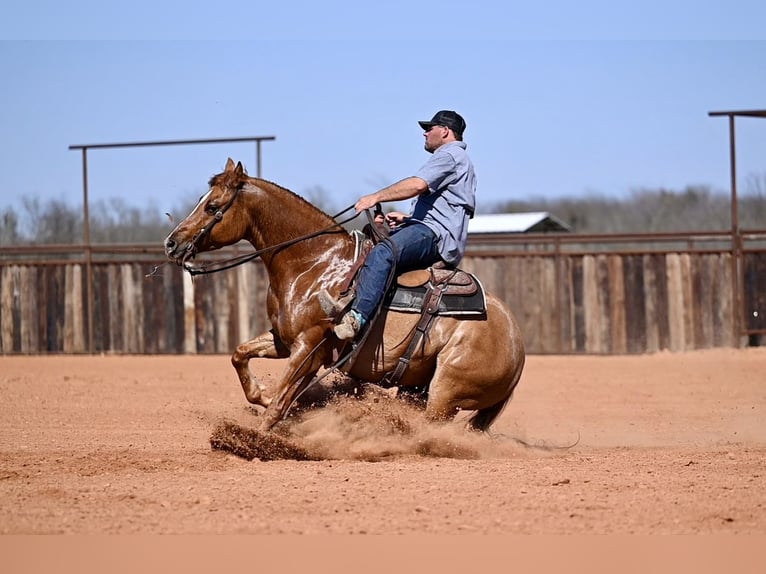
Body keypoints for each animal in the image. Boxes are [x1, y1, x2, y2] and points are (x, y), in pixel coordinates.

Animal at [166, 160, 528, 434]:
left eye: (212, 206)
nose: (171, 243)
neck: (311, 263)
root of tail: (518, 345)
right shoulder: (284, 339)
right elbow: (240, 356)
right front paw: (263, 396)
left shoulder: (309, 347)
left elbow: (281, 399)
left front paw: (253, 437)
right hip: (417, 388)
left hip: (445, 391)